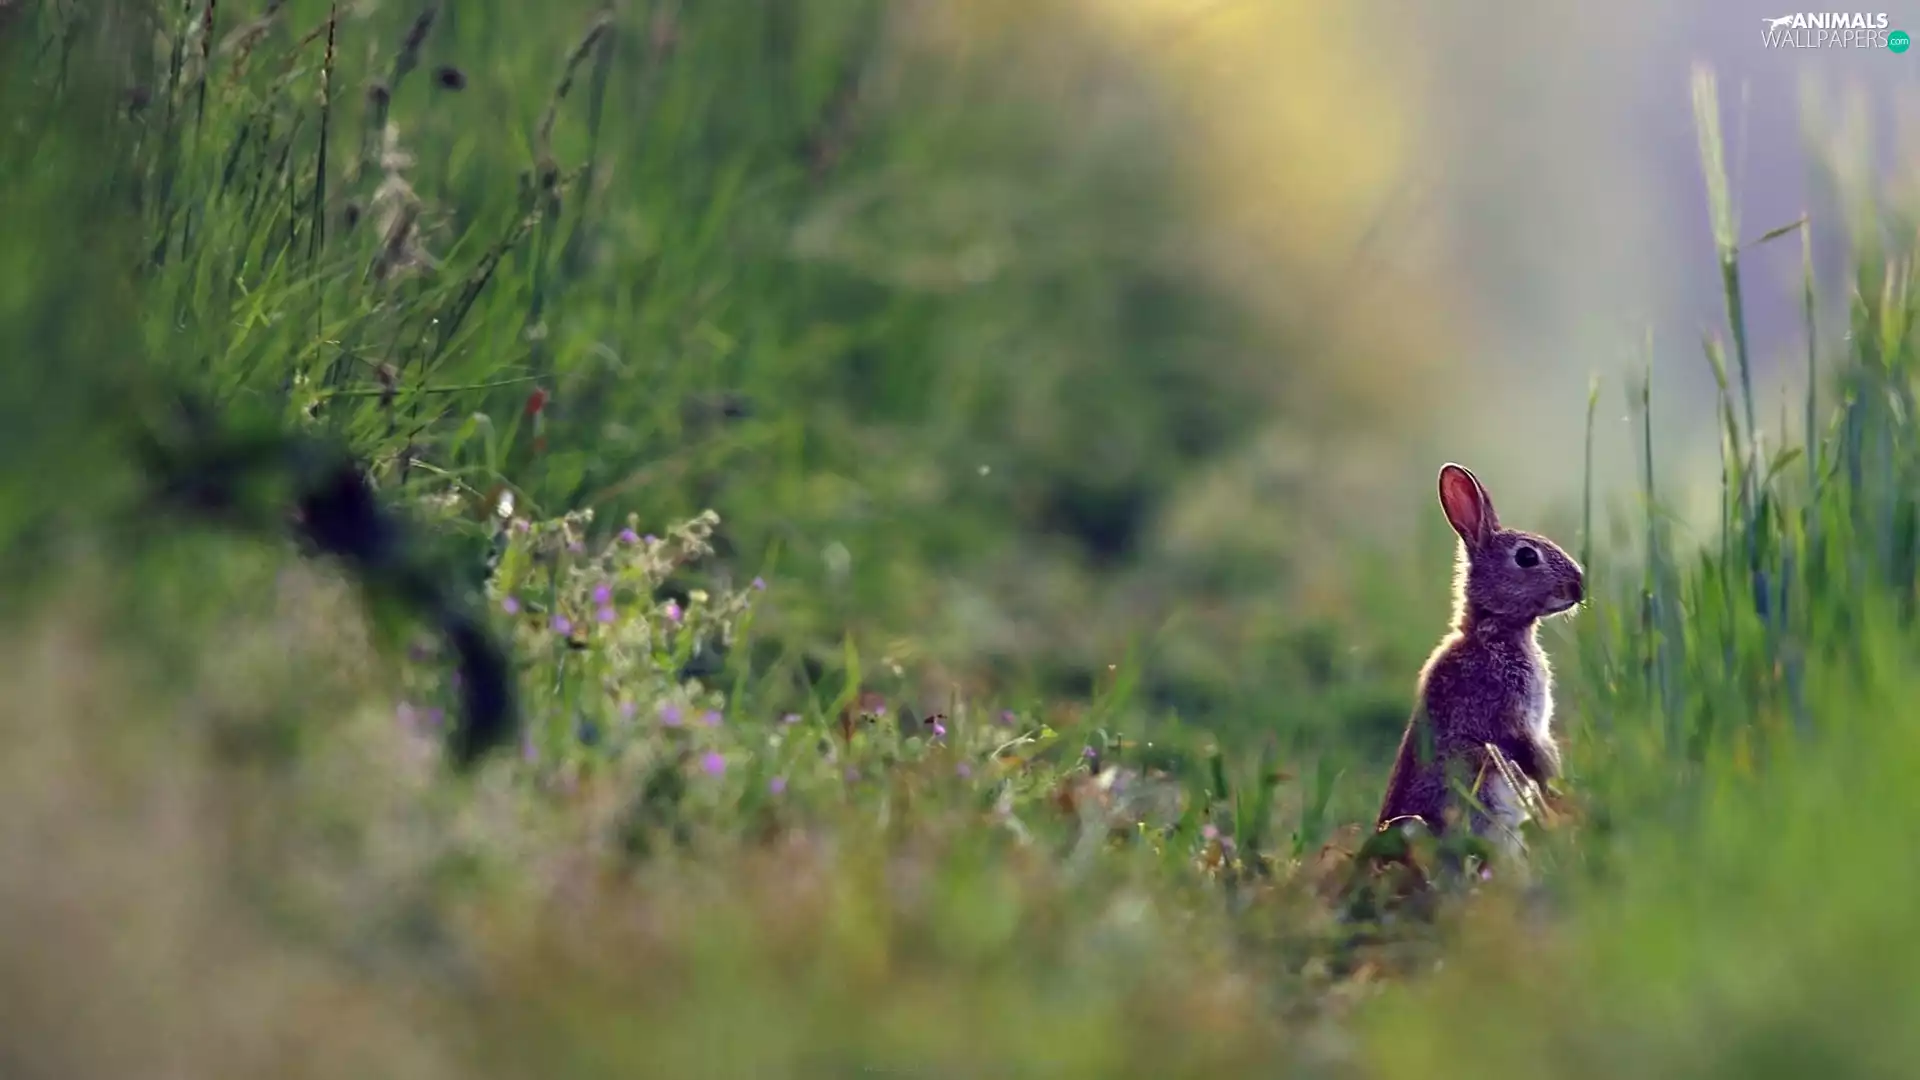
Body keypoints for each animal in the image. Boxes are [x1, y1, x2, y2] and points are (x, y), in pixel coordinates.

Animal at [1375, 462, 1585, 866]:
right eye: (1526, 557)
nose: (1579, 586)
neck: (1493, 631)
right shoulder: (1512, 720)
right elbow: (1536, 758)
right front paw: (1561, 800)